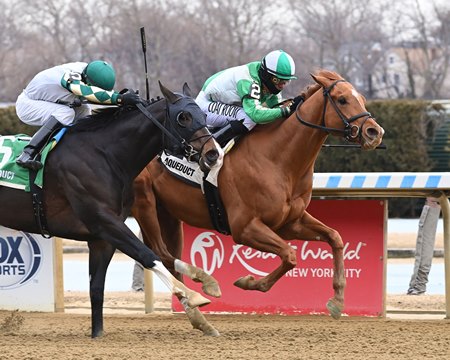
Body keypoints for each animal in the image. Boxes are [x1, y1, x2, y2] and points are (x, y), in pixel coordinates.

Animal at [0, 83, 223, 336]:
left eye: (203, 114)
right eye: (183, 117)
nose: (213, 154)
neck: (105, 156)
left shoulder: (102, 237)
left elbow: (97, 288)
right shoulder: (104, 222)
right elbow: (149, 255)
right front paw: (193, 294)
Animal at [132, 69, 384, 334]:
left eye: (362, 98)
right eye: (342, 99)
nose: (374, 132)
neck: (277, 158)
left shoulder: (290, 222)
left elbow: (335, 237)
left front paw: (337, 301)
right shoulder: (245, 228)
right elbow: (289, 255)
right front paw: (248, 281)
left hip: (168, 213)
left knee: (169, 258)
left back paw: (196, 312)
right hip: (144, 203)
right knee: (159, 252)